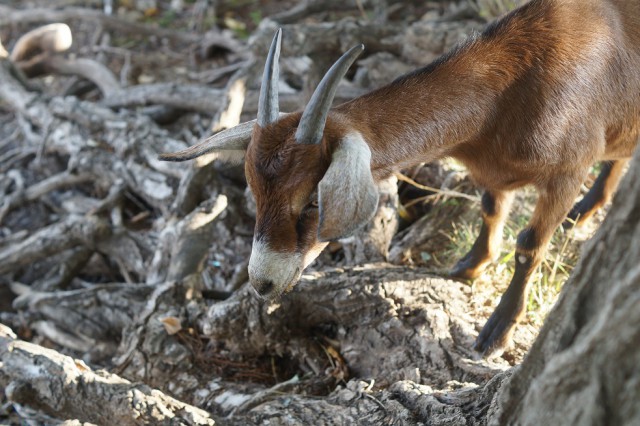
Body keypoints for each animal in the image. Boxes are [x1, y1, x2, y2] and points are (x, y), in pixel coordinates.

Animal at [160, 0, 640, 354]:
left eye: (314, 201)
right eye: (255, 192)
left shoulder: (568, 170)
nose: (263, 282)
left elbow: (528, 247)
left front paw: (496, 332)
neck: (511, 90)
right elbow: (489, 208)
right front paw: (470, 265)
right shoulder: (491, 174)